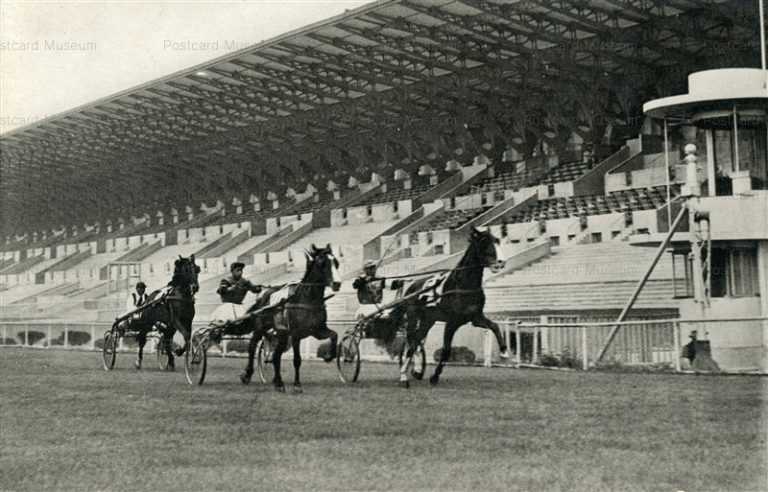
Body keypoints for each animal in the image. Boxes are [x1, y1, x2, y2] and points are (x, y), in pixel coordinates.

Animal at [237, 245, 340, 392]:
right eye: (322, 263)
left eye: (336, 262)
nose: (337, 283)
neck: (308, 299)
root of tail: (264, 296)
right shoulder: (296, 334)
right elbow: (297, 360)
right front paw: (297, 384)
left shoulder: (318, 330)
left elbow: (334, 335)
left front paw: (328, 355)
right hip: (261, 328)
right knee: (252, 346)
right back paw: (248, 374)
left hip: (282, 334)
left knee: (276, 355)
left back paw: (278, 381)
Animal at [396, 228, 510, 388]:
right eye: (484, 243)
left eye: (497, 241)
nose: (501, 262)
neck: (462, 285)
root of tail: (411, 287)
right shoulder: (452, 322)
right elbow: (446, 350)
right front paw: (434, 377)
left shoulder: (475, 318)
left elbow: (494, 326)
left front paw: (504, 351)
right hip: (413, 317)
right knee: (411, 342)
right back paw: (403, 376)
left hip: (428, 320)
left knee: (417, 340)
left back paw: (416, 372)